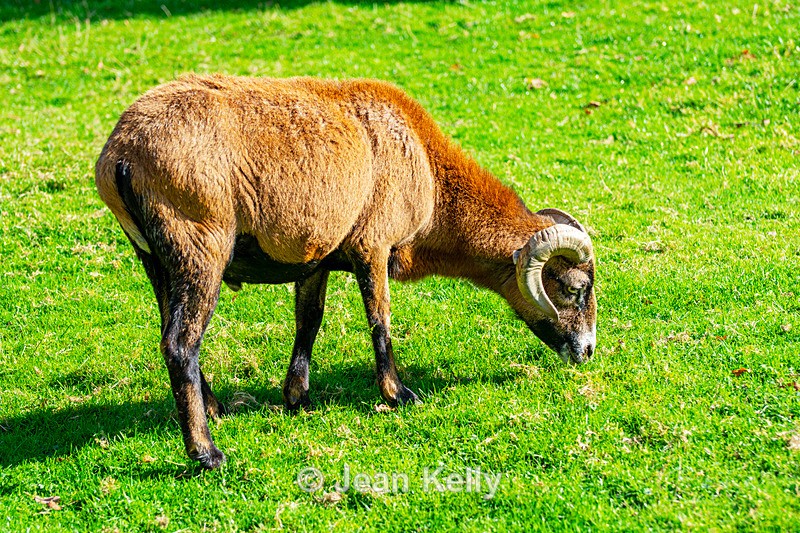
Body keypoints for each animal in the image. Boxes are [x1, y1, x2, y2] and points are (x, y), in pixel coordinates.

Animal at [95, 74, 596, 469]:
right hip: (199, 245)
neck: (432, 183)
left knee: (173, 334)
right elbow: (380, 320)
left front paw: (298, 397)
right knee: (181, 344)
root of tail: (121, 154)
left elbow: (308, 321)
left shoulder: (314, 255)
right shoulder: (373, 246)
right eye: (575, 288)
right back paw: (206, 453)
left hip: (155, 257)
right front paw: (398, 394)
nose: (588, 350)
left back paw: (215, 409)